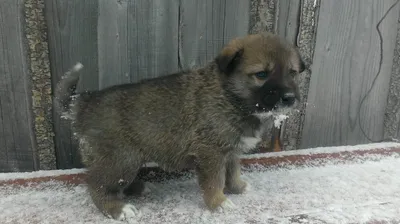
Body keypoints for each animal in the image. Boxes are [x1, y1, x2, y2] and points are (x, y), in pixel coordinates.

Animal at [52, 32, 304, 221]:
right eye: (261, 74)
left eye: (292, 73)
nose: (290, 98)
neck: (229, 95)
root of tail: (82, 103)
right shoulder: (210, 152)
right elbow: (215, 181)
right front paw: (219, 203)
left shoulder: (230, 150)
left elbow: (233, 171)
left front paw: (238, 187)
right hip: (121, 159)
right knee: (98, 184)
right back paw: (117, 209)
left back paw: (137, 189)